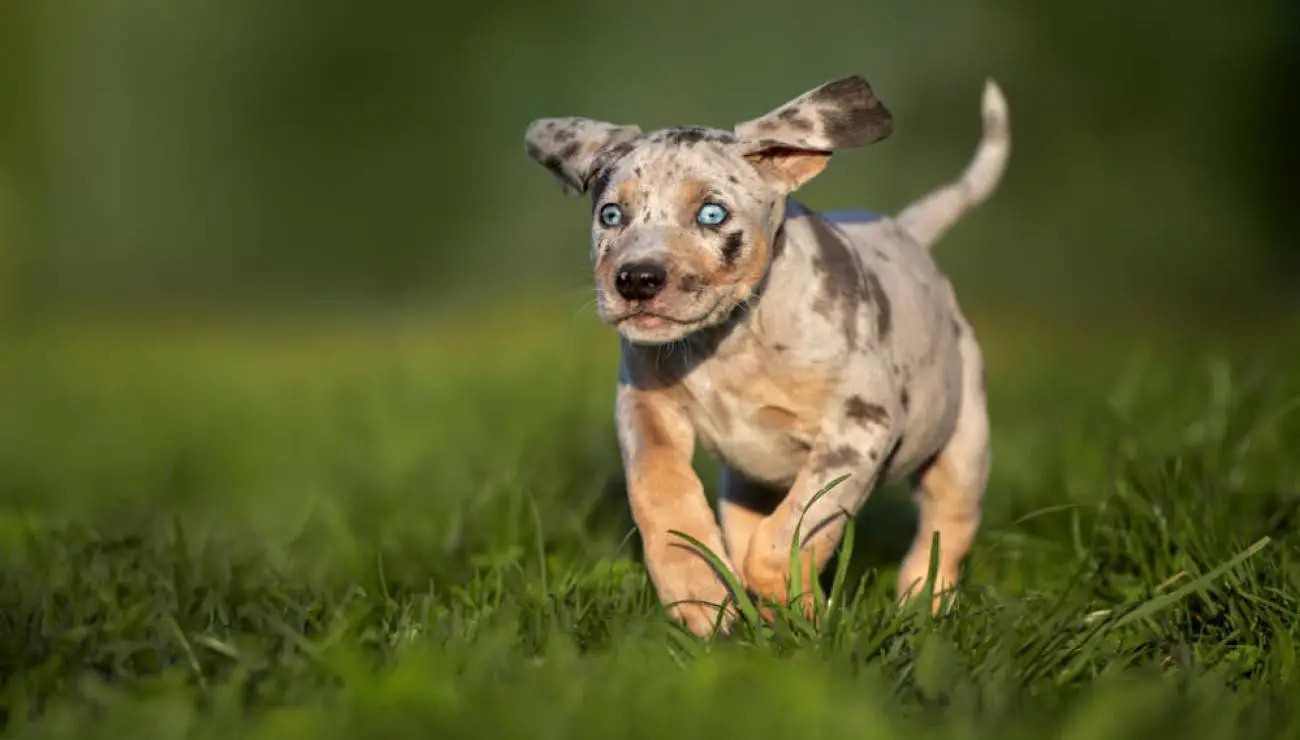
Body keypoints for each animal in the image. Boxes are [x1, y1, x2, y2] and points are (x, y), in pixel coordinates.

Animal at [522, 75, 1008, 632]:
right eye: (610, 215)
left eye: (712, 214)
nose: (637, 279)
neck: (731, 341)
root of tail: (907, 231)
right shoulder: (645, 407)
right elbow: (660, 488)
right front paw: (697, 590)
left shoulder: (859, 427)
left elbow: (788, 536)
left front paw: (798, 609)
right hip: (745, 483)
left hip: (962, 444)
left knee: (946, 526)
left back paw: (922, 603)